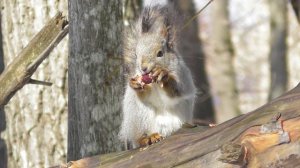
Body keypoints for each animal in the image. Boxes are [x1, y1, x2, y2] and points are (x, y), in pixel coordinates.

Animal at [119, 3, 197, 148]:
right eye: (136, 54)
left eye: (160, 53)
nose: (143, 68)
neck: (154, 83)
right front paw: (134, 84)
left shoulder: (183, 75)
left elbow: (178, 90)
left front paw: (164, 76)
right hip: (139, 117)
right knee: (140, 135)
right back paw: (147, 137)